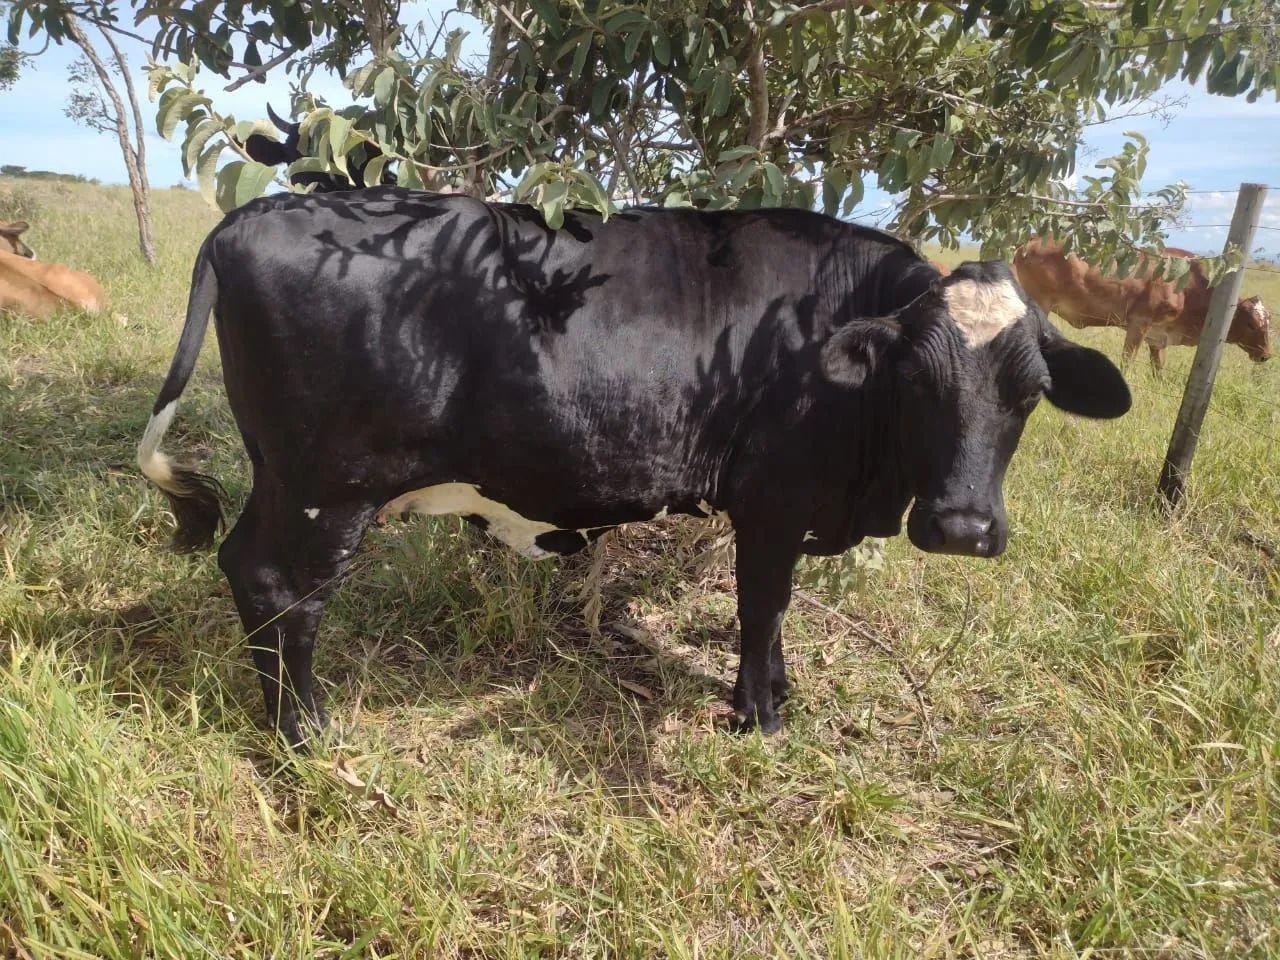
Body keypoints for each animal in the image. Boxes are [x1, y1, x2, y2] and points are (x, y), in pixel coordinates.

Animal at [137, 188, 1131, 748]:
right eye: (919, 379)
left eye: (1031, 392)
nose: (963, 527)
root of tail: (255, 213)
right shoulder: (772, 503)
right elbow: (761, 609)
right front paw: (759, 718)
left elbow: (773, 616)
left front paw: (780, 695)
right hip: (329, 488)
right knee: (284, 591)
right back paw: (304, 734)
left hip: (286, 482)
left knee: (242, 565)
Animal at [1012, 237, 1271, 370]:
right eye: (1250, 323)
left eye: (1268, 323)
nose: (1266, 355)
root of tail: (1030, 241)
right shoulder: (1139, 323)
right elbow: (1127, 361)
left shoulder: (1158, 338)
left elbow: (1159, 370)